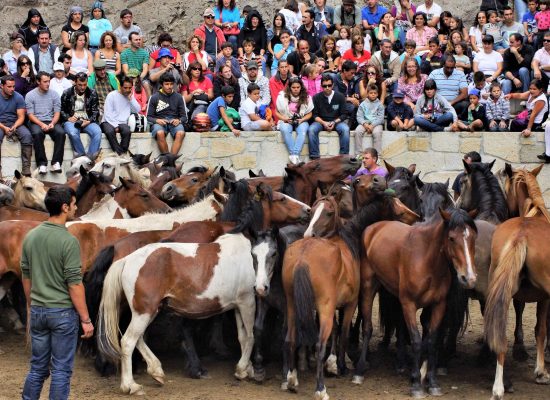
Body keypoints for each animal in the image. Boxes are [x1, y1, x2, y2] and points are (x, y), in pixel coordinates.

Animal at [96, 230, 280, 396]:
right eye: (257, 257)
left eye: (273, 254)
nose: (262, 287)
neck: (247, 256)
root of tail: (127, 260)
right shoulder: (247, 301)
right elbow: (250, 337)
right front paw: (243, 370)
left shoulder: (238, 305)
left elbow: (242, 337)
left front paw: (247, 368)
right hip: (144, 313)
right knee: (128, 342)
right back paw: (130, 386)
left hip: (147, 312)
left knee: (138, 339)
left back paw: (156, 371)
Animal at [354, 208, 478, 398]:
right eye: (451, 238)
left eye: (473, 238)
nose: (469, 278)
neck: (427, 261)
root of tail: (373, 228)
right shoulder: (409, 304)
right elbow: (416, 340)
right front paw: (416, 384)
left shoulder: (438, 305)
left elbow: (432, 341)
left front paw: (432, 382)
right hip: (369, 286)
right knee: (367, 327)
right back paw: (360, 370)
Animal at [488, 164, 550, 398]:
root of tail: (521, 234)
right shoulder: (545, 298)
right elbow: (541, 330)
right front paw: (540, 371)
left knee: (500, 334)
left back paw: (498, 387)